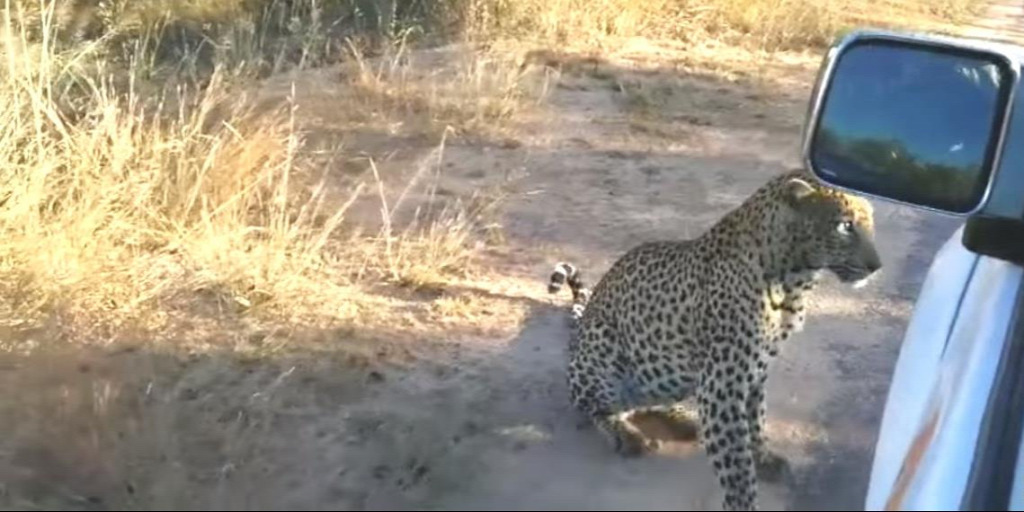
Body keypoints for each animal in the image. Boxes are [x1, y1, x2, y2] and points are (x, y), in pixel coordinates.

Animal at [547, 168, 882, 511]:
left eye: (870, 223)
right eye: (845, 225)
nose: (876, 266)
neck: (793, 280)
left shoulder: (755, 372)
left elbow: (756, 421)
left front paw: (763, 458)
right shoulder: (723, 385)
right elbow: (736, 465)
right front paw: (743, 500)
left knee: (650, 401)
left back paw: (686, 421)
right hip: (603, 346)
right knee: (596, 407)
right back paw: (627, 435)